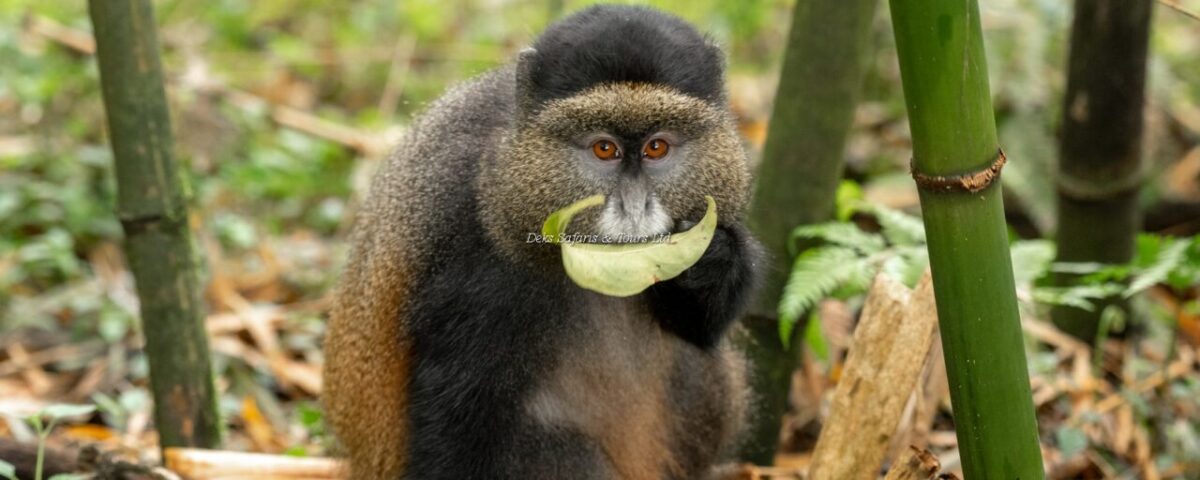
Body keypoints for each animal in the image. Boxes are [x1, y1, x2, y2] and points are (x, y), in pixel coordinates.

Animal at [322, 5, 763, 479]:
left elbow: (697, 330)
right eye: (604, 149)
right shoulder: (474, 247)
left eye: (657, 147)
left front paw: (713, 262)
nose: (635, 207)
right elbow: (458, 408)